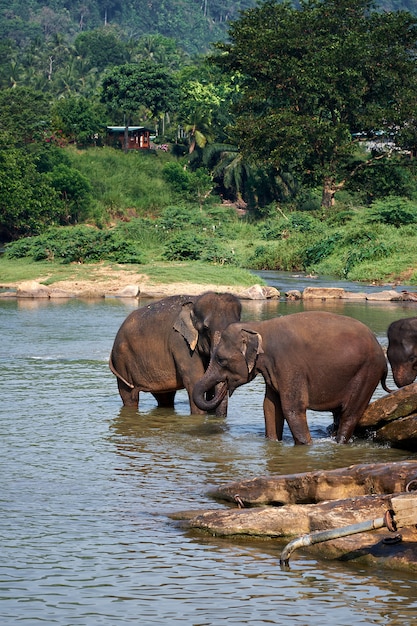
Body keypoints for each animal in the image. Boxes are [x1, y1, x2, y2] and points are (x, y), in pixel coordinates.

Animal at [108, 288, 240, 414]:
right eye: (206, 328)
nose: (227, 384)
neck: (195, 300)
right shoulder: (180, 342)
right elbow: (194, 381)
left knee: (165, 398)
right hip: (122, 361)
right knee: (130, 397)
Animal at [192, 310, 390, 442]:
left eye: (221, 360)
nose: (224, 387)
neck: (259, 327)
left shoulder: (289, 364)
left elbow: (292, 408)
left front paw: (305, 445)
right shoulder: (273, 371)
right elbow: (270, 407)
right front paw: (273, 443)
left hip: (367, 373)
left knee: (350, 414)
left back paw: (340, 441)